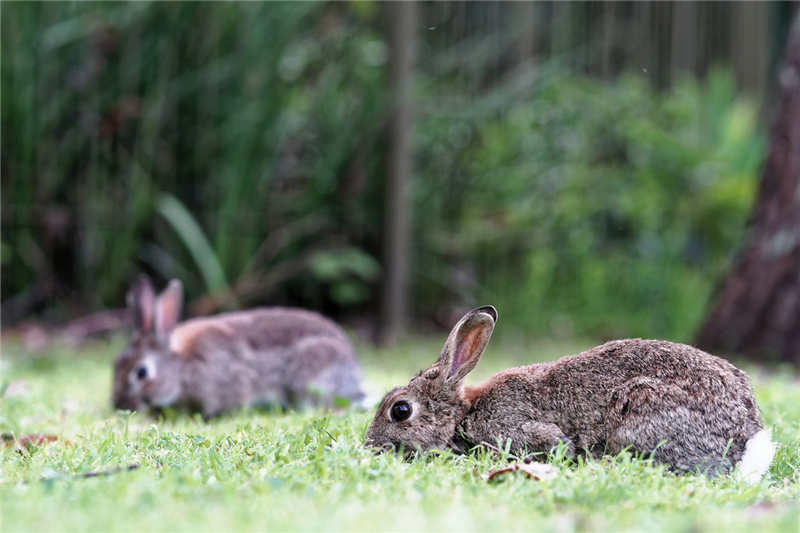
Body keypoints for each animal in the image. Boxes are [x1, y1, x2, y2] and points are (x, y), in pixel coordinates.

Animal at [364, 304, 776, 478]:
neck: (464, 414)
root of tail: (746, 440)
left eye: (400, 410)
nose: (370, 446)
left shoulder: (520, 430)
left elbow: (554, 443)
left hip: (640, 410)